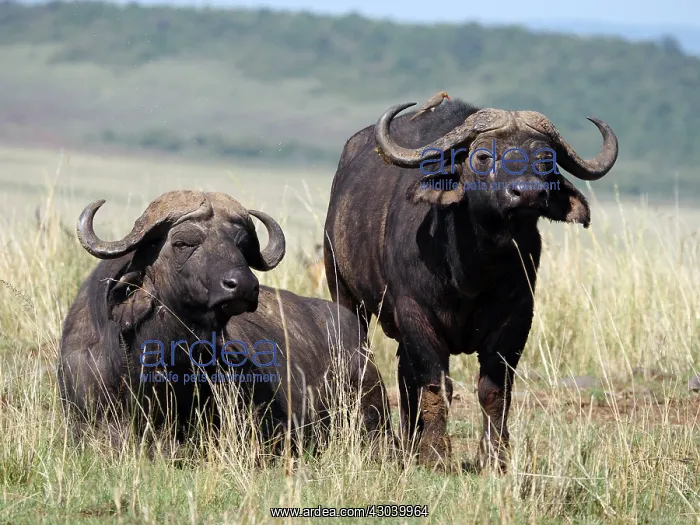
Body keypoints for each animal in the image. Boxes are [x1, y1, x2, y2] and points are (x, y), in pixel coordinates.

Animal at [323, 98, 618, 472]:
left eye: (545, 158)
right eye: (483, 156)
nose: (527, 194)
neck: (473, 268)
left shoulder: (516, 319)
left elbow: (494, 391)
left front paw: (495, 458)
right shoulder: (416, 314)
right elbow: (435, 387)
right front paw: (435, 455)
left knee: (404, 374)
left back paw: (410, 443)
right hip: (345, 294)